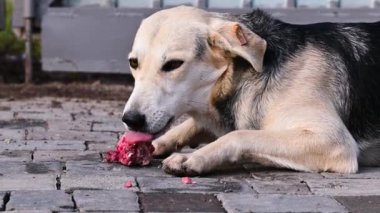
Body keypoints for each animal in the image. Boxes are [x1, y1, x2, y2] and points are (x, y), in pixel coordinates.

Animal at [121, 5, 380, 176]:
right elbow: (192, 125)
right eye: (133, 63)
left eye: (173, 64)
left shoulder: (332, 141)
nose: (130, 120)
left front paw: (194, 157)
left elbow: (239, 135)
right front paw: (158, 144)